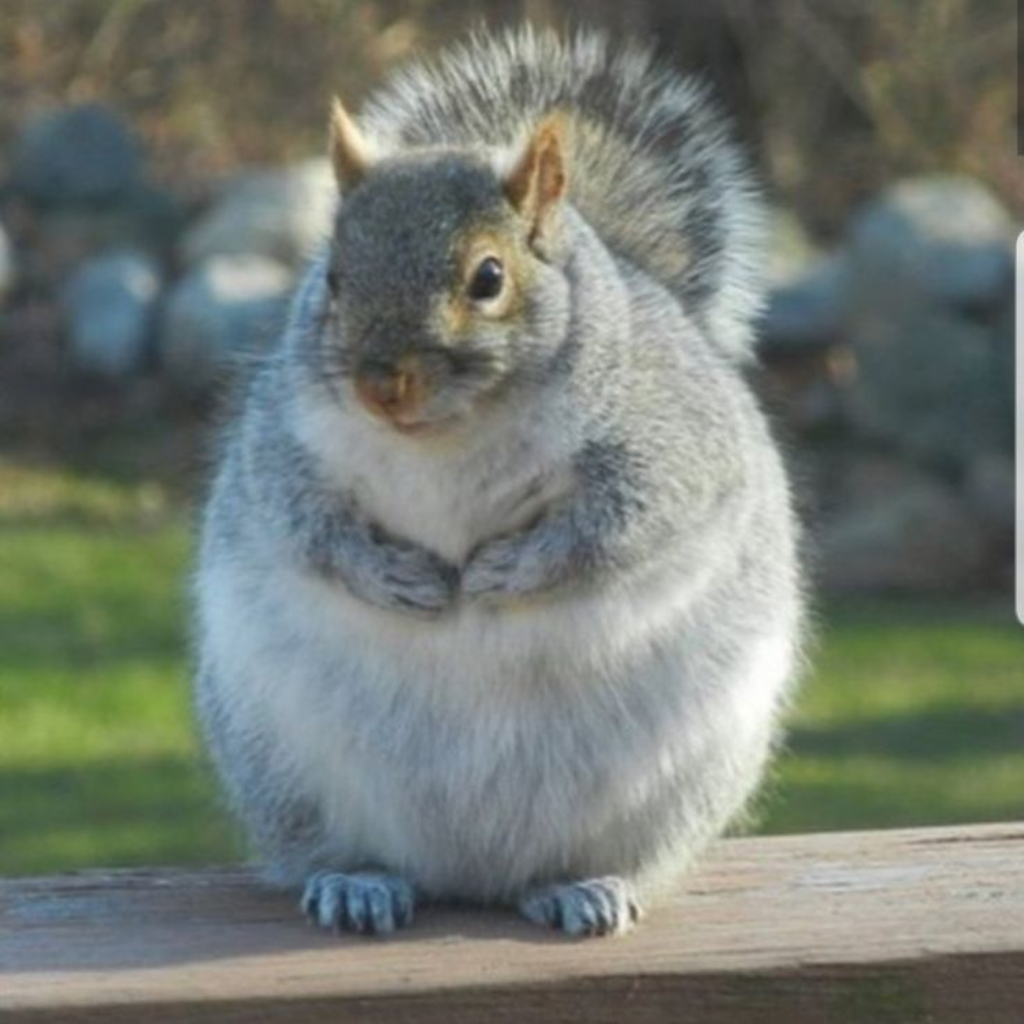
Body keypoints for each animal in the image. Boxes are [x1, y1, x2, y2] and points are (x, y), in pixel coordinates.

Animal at [194, 27, 803, 938]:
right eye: (331, 278)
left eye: (488, 278)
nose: (379, 384)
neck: (450, 438)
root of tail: (469, 874)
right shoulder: (283, 451)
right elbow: (308, 530)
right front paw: (394, 576)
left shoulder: (669, 450)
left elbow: (620, 526)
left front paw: (505, 573)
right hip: (282, 766)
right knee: (343, 848)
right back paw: (357, 882)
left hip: (673, 785)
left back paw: (580, 886)